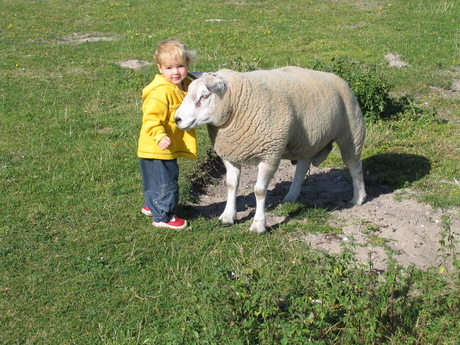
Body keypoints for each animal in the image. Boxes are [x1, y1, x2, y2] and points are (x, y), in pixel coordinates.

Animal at [175, 66, 366, 234]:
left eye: (204, 96)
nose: (177, 119)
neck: (238, 102)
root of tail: (338, 78)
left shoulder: (269, 154)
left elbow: (259, 191)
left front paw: (258, 225)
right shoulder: (230, 154)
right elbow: (231, 185)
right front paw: (227, 216)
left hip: (351, 132)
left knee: (355, 167)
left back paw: (358, 198)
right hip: (305, 141)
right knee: (302, 167)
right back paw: (291, 196)